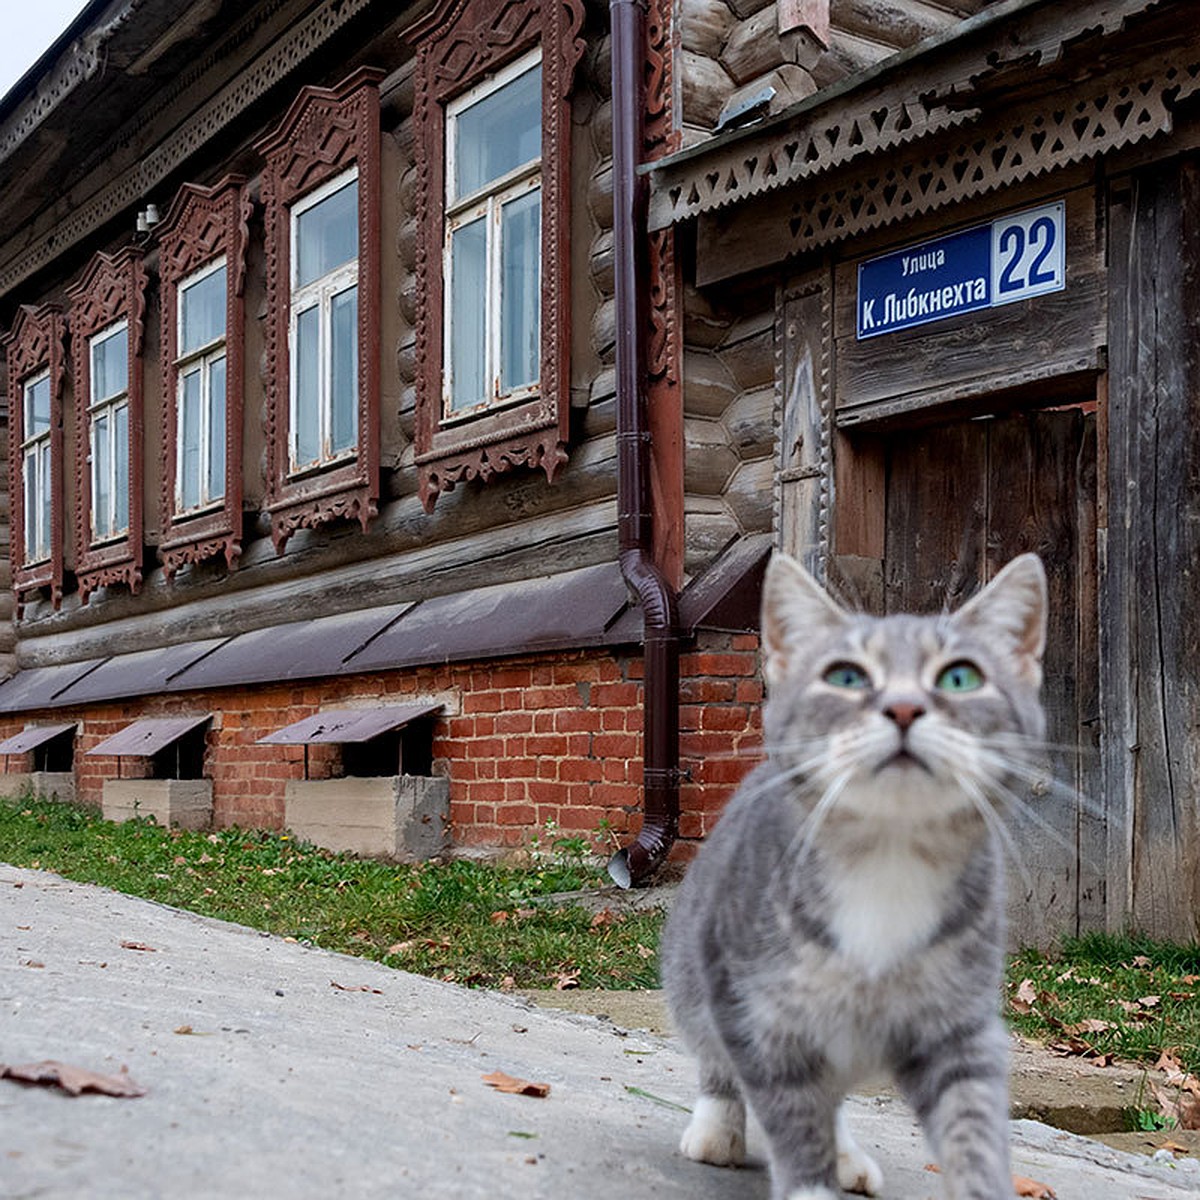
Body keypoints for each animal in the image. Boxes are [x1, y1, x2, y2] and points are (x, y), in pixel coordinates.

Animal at [662, 552, 1046, 1200]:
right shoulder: (758, 1013)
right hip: (697, 963)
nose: (904, 708)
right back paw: (718, 1130)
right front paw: (809, 1181)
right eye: (845, 677)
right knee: (717, 1058)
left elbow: (971, 1118)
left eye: (959, 678)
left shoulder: (957, 1023)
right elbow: (792, 1113)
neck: (887, 859)